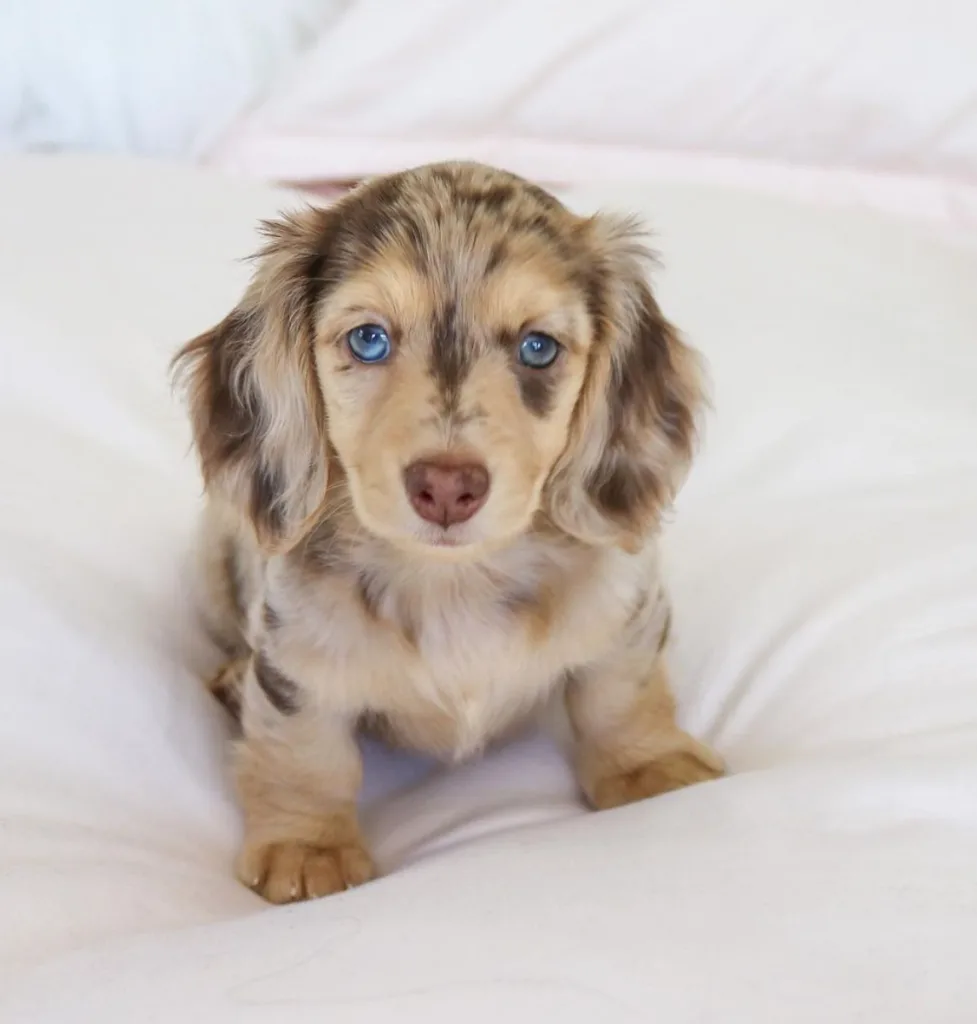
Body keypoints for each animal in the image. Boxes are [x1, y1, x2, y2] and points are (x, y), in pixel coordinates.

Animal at [173, 161, 725, 905]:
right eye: (369, 339)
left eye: (537, 347)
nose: (446, 487)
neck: (453, 582)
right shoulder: (293, 663)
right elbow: (306, 753)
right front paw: (308, 846)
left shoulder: (627, 614)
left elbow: (621, 694)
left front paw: (650, 767)